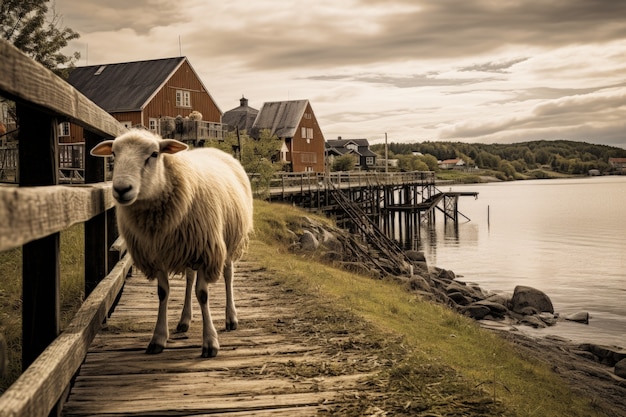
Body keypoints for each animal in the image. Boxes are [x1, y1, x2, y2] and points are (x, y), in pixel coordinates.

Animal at [88, 128, 254, 356]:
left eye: (154, 154)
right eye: (113, 154)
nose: (121, 189)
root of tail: (218, 151)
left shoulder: (207, 250)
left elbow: (203, 294)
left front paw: (210, 341)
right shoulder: (157, 254)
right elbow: (163, 293)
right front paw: (158, 338)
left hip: (230, 239)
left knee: (228, 275)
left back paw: (231, 318)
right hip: (189, 247)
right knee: (190, 279)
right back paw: (184, 320)